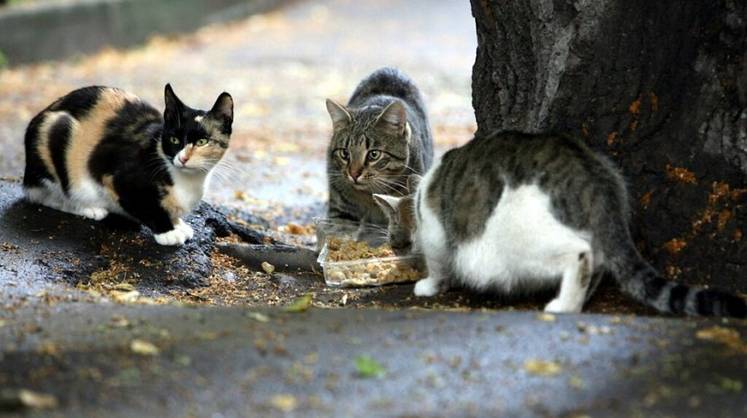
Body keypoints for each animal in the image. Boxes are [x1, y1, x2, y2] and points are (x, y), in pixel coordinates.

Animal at [22, 84, 234, 245]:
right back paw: (88, 208)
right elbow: (145, 205)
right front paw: (168, 231)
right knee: (46, 195)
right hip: (56, 132)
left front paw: (177, 223)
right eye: (174, 140)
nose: (182, 159)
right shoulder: (112, 175)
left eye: (202, 142)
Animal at [376, 131, 747, 316]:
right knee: (597, 263)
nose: (393, 246)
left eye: (395, 235)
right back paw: (578, 300)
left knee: (580, 255)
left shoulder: (435, 233)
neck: (421, 192)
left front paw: (428, 285)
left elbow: (438, 265)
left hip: (515, 244)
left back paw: (564, 306)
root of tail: (594, 180)